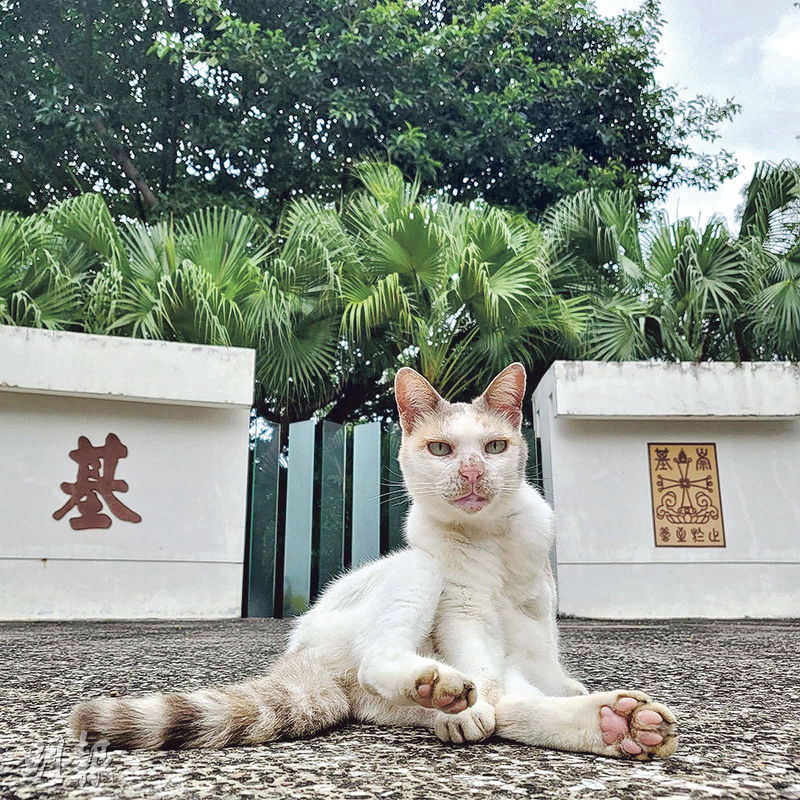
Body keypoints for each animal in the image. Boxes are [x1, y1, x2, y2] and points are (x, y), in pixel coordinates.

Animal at [72, 366, 680, 760]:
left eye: (493, 448)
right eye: (441, 449)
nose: (472, 473)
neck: (492, 541)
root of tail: (296, 658)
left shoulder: (534, 630)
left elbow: (532, 681)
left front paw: (583, 703)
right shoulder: (463, 611)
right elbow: (485, 676)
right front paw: (468, 711)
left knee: (514, 704)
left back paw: (621, 725)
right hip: (415, 573)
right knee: (402, 669)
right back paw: (450, 694)